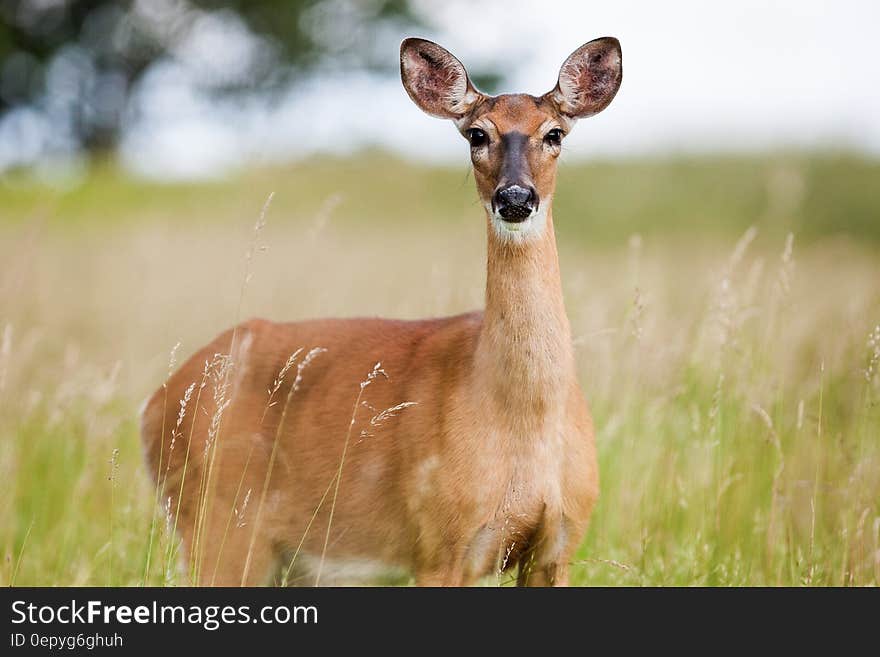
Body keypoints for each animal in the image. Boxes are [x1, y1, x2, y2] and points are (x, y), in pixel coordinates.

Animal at [141, 36, 624, 584]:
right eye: (476, 134)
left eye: (554, 133)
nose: (516, 197)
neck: (524, 419)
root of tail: (154, 404)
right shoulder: (440, 542)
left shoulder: (559, 543)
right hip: (218, 525)